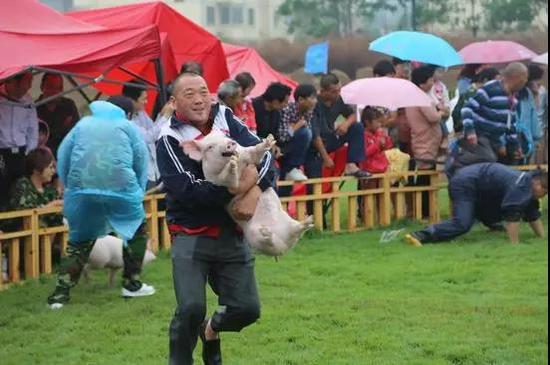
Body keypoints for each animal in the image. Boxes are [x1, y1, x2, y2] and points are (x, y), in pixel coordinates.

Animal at [183, 132, 314, 256]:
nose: (230, 143)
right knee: (269, 241)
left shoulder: (247, 155)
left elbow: (254, 152)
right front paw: (232, 164)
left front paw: (269, 139)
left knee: (297, 230)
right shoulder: (221, 182)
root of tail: (282, 248)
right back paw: (266, 233)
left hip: (288, 222)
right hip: (253, 237)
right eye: (210, 146)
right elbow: (228, 178)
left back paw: (308, 220)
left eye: (225, 136)